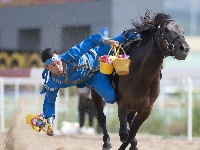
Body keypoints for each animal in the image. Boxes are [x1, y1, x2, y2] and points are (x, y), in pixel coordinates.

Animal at [91, 10, 190, 150]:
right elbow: (124, 134)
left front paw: (133, 144)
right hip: (96, 92)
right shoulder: (123, 104)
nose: (184, 48)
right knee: (101, 117)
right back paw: (107, 142)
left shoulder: (146, 109)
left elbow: (131, 133)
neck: (143, 76)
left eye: (182, 30)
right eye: (166, 29)